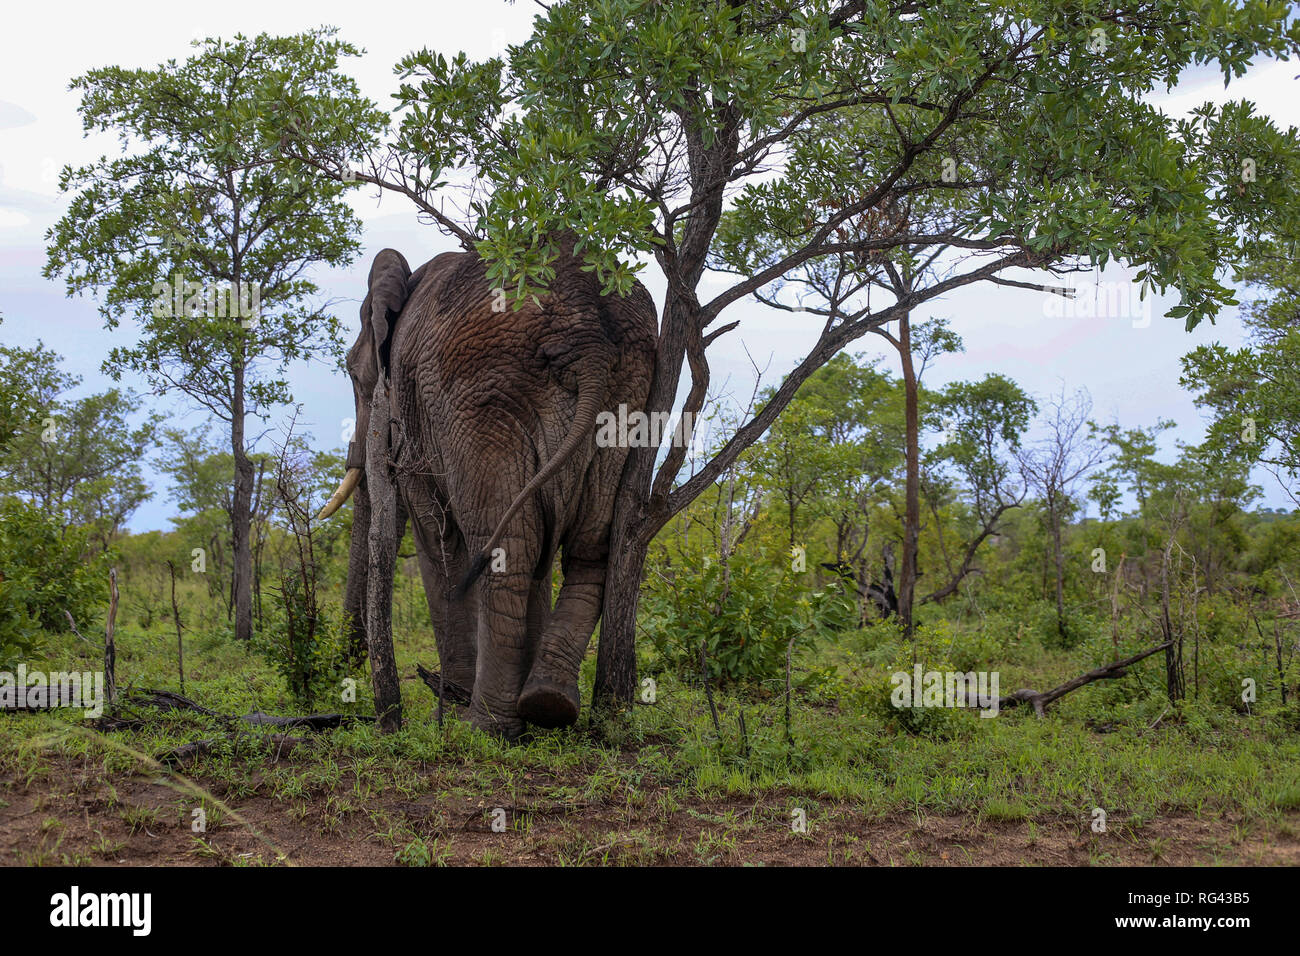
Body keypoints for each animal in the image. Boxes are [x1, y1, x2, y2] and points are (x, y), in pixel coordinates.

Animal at [315, 239, 660, 738]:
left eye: (354, 376)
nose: (340, 667)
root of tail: (587, 337)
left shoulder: (416, 416)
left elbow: (436, 533)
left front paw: (451, 710)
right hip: (628, 398)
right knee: (590, 542)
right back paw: (547, 703)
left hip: (481, 399)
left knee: (507, 545)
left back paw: (485, 724)